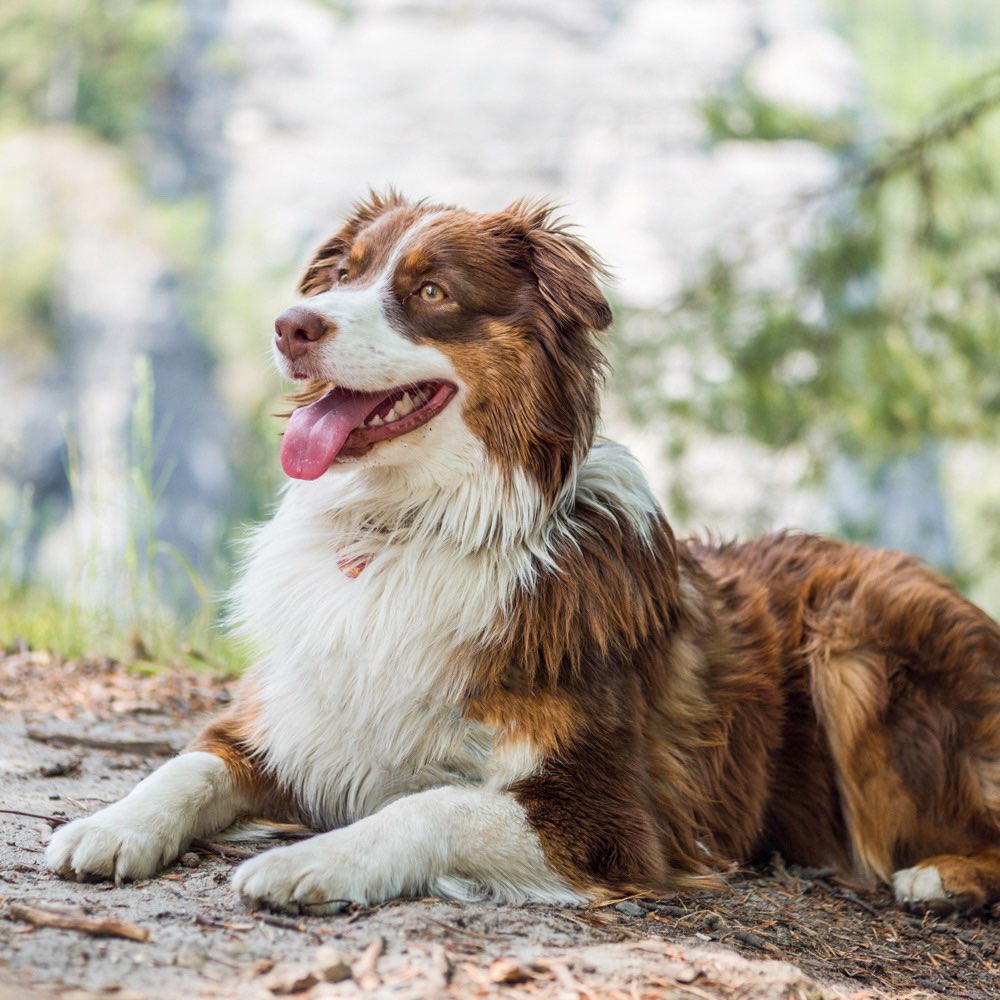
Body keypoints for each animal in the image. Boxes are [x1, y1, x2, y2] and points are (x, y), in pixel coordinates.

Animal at [45, 193, 1000, 916]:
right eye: (345, 273)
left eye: (431, 290)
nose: (290, 325)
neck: (403, 527)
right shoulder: (285, 720)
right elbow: (185, 767)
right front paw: (110, 825)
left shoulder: (609, 818)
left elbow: (429, 805)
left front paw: (306, 861)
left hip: (856, 640)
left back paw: (936, 880)